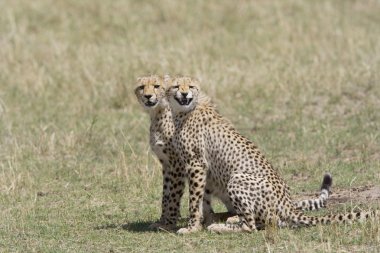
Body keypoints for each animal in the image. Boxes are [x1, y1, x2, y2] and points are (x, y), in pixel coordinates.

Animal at [166, 76, 378, 233]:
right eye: (176, 86)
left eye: (190, 86)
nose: (184, 93)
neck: (184, 111)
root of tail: (287, 202)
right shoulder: (203, 169)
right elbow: (203, 198)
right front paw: (204, 220)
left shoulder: (196, 164)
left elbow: (195, 200)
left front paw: (192, 228)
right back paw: (231, 220)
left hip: (237, 178)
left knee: (252, 226)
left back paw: (222, 227)